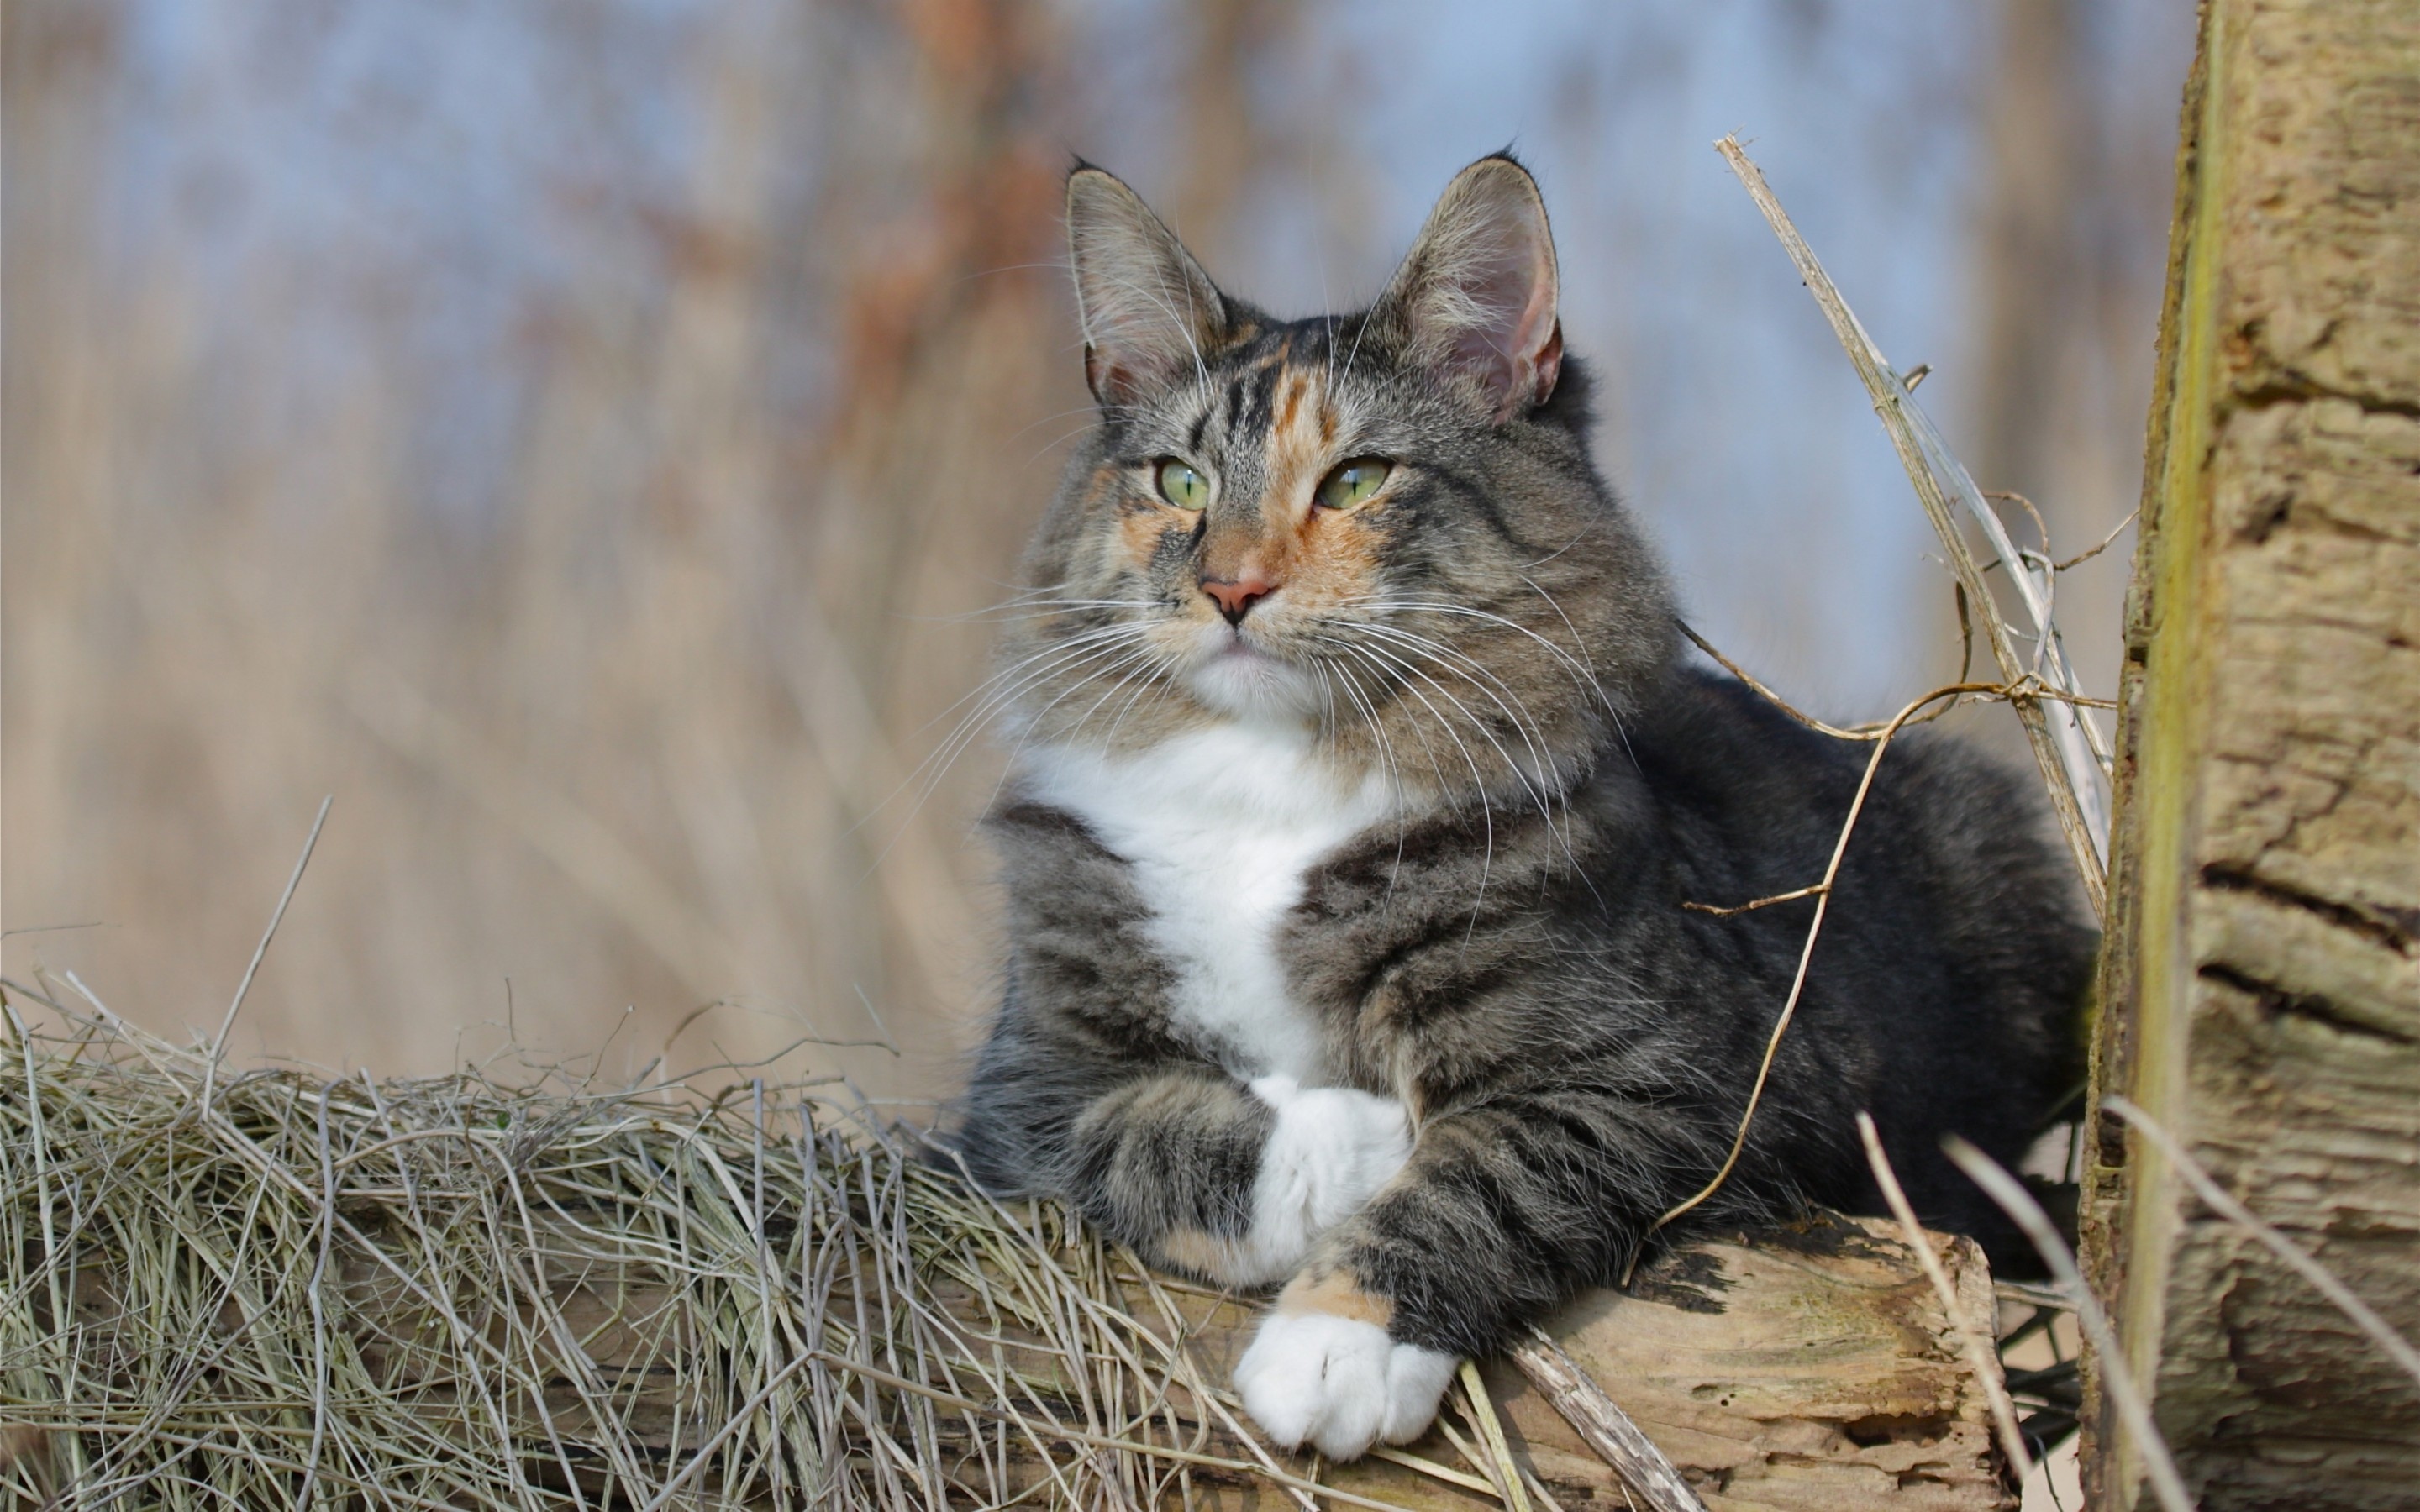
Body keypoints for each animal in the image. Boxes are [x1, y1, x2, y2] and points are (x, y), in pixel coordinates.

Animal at [948, 155, 2100, 1461]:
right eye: (1180, 483)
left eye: (1356, 481)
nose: (1229, 587)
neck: (1268, 781)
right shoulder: (1025, 1085)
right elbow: (1155, 1127)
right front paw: (1355, 1140)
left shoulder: (1685, 1077)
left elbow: (1485, 1169)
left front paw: (1335, 1347)